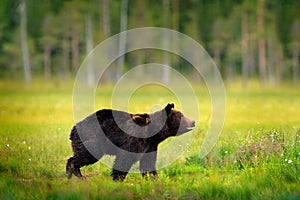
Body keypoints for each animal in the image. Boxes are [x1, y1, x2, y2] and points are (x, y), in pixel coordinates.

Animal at [65, 104, 195, 180]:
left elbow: (148, 163)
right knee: (86, 155)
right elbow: (124, 159)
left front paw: (153, 178)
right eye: (181, 116)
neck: (154, 134)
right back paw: (74, 173)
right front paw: (117, 178)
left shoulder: (151, 146)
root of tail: (73, 129)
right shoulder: (134, 140)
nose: (193, 121)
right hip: (93, 137)